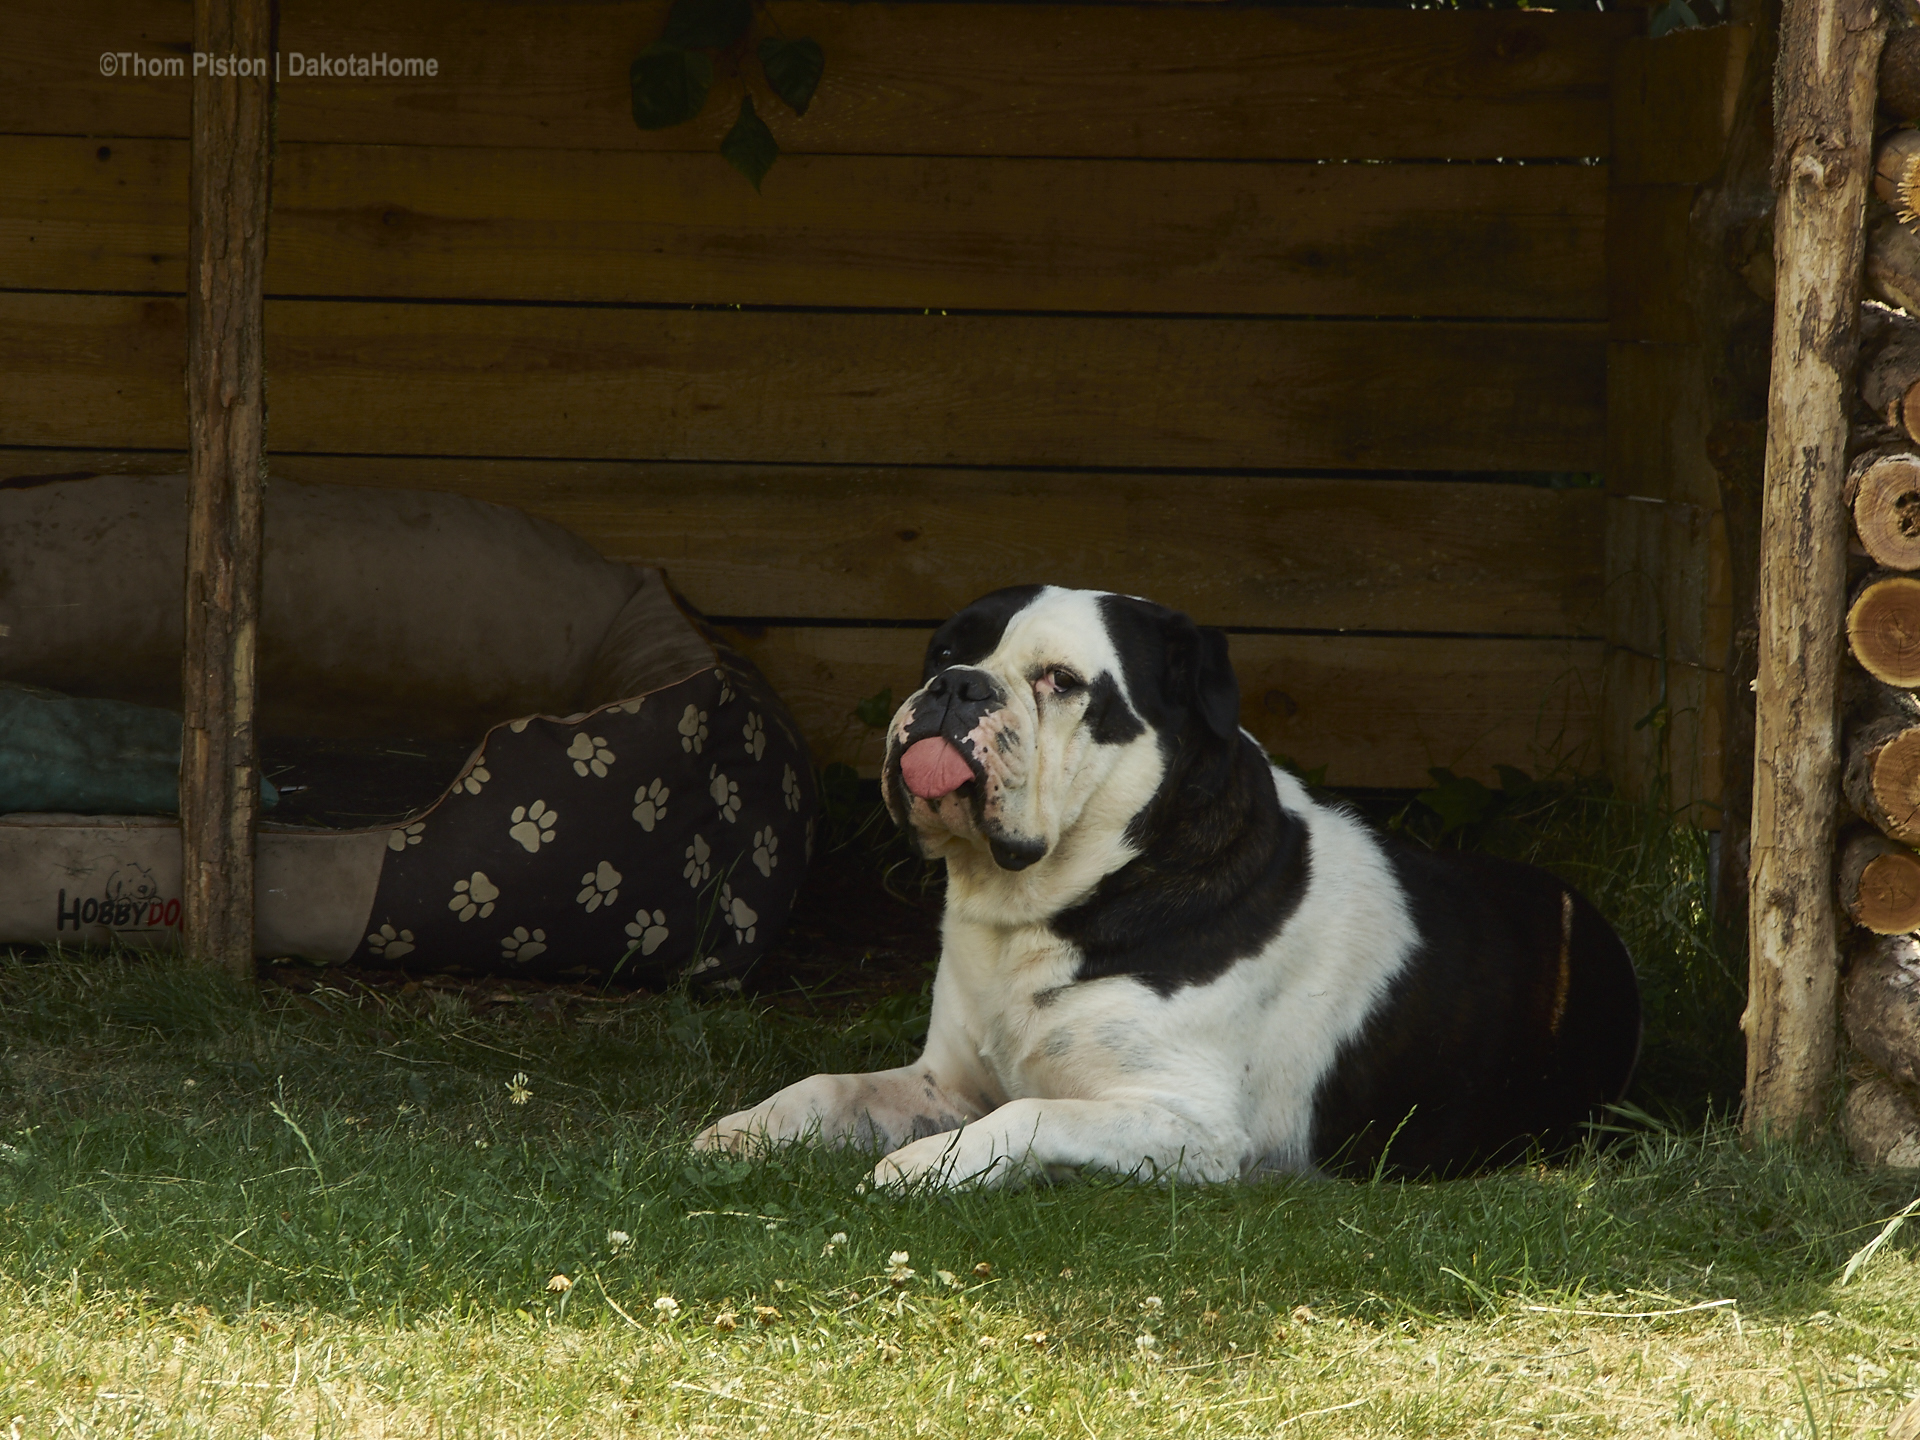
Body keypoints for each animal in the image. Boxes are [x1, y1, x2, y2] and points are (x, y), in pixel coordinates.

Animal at [698, 579, 1643, 1190]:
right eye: (944, 649)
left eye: (1061, 682)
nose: (955, 687)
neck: (1051, 906)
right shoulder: (945, 1081)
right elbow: (830, 1086)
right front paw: (745, 1129)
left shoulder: (1189, 1123)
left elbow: (1029, 1114)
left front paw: (925, 1164)